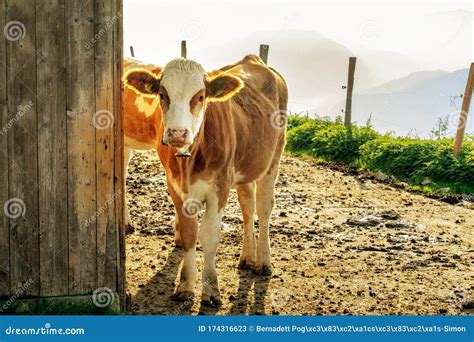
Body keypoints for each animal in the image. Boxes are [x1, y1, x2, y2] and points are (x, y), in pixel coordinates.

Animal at [122, 54, 288, 306]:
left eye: (200, 96)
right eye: (162, 94)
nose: (177, 133)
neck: (190, 160)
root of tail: (253, 59)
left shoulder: (219, 188)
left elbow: (209, 236)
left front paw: (210, 290)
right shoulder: (176, 188)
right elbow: (190, 234)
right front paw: (185, 286)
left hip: (272, 160)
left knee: (263, 209)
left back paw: (263, 262)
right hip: (244, 168)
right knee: (247, 206)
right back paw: (247, 257)